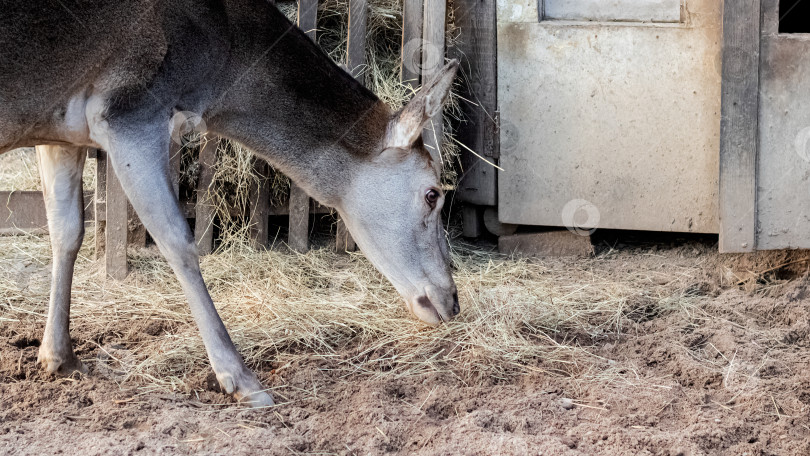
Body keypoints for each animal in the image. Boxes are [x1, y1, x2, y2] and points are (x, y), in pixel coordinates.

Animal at [1, 0, 460, 406]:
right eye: (433, 193)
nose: (451, 302)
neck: (221, 59)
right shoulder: (128, 111)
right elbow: (178, 240)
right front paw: (241, 379)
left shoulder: (60, 130)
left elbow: (66, 231)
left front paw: (58, 357)